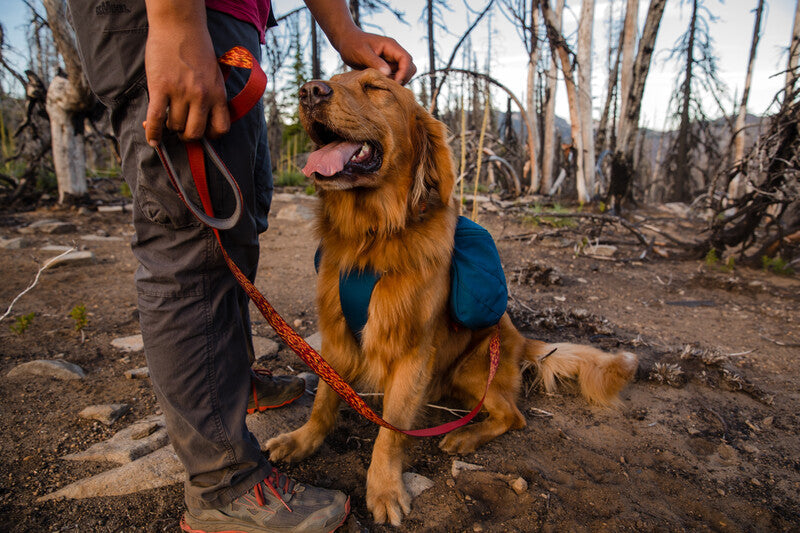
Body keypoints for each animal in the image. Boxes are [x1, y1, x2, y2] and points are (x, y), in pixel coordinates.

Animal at [266, 68, 640, 524]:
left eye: (376, 87)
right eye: (334, 77)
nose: (309, 91)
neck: (373, 237)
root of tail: (521, 340)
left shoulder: (412, 353)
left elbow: (390, 432)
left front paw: (385, 487)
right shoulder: (335, 340)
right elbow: (322, 401)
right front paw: (301, 440)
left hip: (472, 370)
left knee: (513, 416)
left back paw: (464, 436)